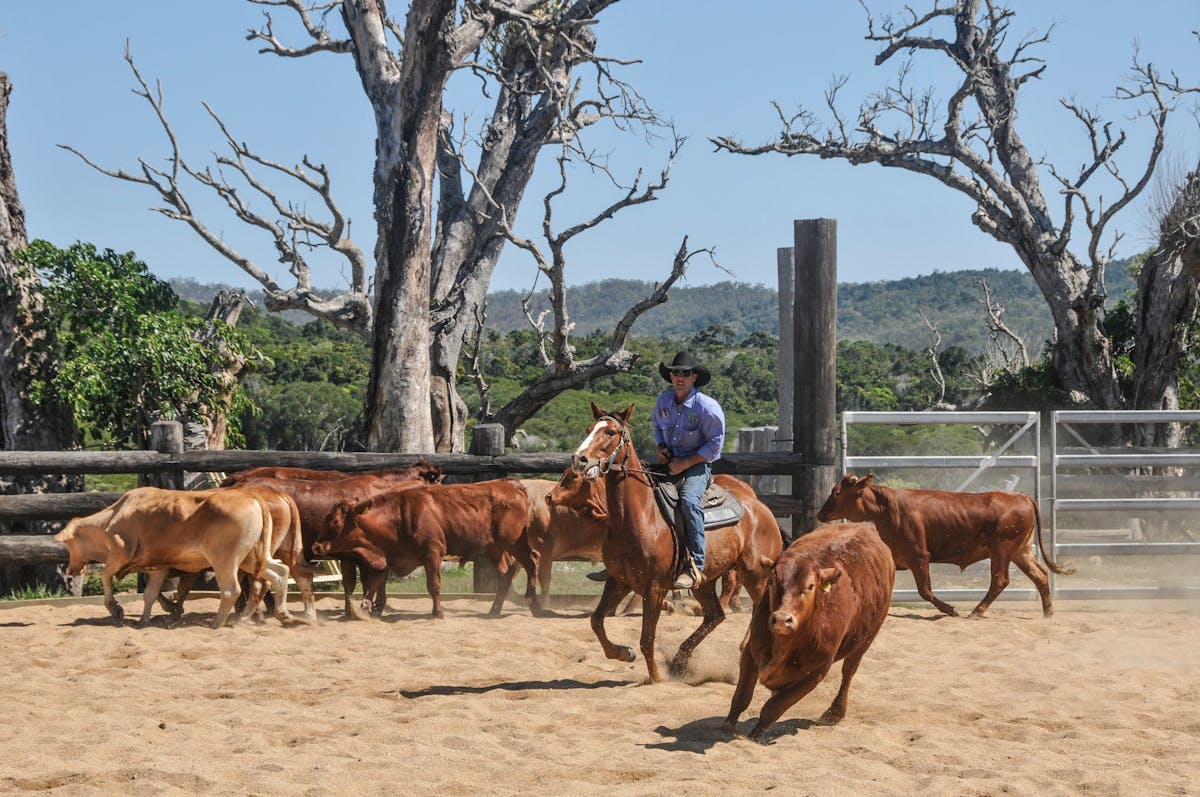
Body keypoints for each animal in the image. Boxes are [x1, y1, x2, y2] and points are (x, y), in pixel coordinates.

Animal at [56, 484, 290, 628]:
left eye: (69, 543)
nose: (70, 569)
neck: (113, 518)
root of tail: (253, 497)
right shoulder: (158, 566)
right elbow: (150, 594)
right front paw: (145, 620)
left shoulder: (118, 556)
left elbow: (106, 576)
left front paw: (115, 609)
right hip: (252, 557)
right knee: (279, 572)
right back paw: (282, 614)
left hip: (225, 560)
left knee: (232, 590)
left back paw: (217, 623)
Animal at [312, 475, 537, 619]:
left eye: (335, 522)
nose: (316, 546)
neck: (399, 519)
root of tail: (511, 485)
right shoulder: (389, 558)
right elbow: (373, 584)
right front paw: (365, 608)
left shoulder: (432, 554)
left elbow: (433, 586)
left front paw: (438, 612)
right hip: (495, 549)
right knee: (506, 573)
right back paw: (495, 609)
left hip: (515, 542)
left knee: (531, 562)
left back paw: (533, 600)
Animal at [561, 400, 787, 681]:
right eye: (589, 429)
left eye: (611, 432)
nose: (579, 459)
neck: (639, 516)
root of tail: (763, 510)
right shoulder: (618, 580)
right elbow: (597, 621)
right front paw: (623, 653)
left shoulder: (655, 588)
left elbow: (647, 638)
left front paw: (656, 677)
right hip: (705, 582)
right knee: (715, 615)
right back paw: (681, 659)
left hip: (755, 574)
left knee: (760, 610)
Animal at [720, 523, 892, 739]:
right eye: (772, 581)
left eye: (810, 586)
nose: (782, 619)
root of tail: (866, 526)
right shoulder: (750, 653)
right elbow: (742, 696)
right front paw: (728, 724)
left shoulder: (815, 673)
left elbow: (774, 707)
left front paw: (757, 733)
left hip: (865, 640)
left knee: (849, 671)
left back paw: (835, 712)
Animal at [811, 472, 1075, 614]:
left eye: (836, 492)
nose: (820, 514)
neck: (886, 509)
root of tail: (1022, 496)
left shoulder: (919, 557)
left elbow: (925, 591)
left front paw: (949, 609)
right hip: (1021, 551)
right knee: (1040, 576)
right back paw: (1048, 613)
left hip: (1002, 549)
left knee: (1000, 580)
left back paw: (976, 611)